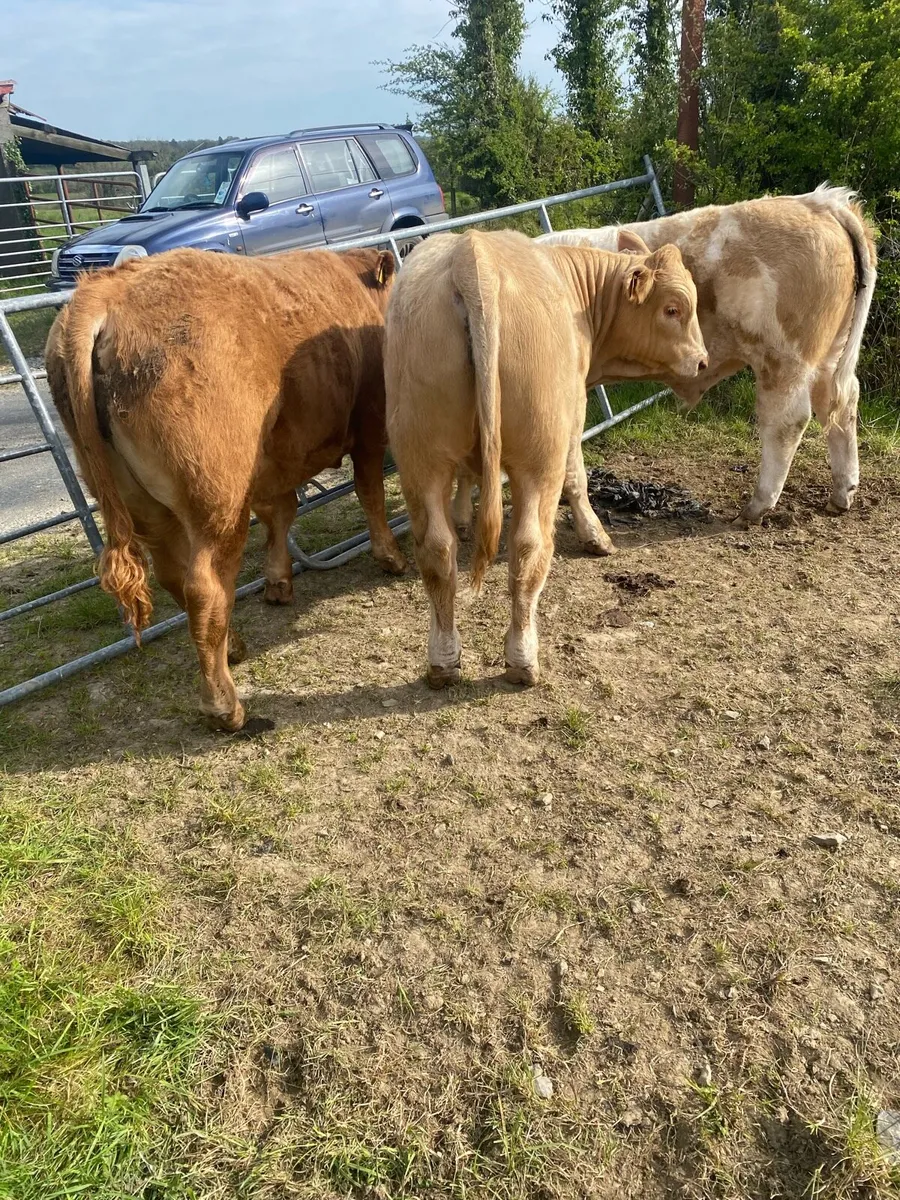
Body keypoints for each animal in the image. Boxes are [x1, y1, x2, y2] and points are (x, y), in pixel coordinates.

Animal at [45, 246, 406, 732]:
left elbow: (280, 515)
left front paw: (278, 582)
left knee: (173, 577)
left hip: (145, 505)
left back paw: (231, 647)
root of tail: (106, 289)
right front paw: (390, 557)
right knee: (205, 588)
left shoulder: (273, 463)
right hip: (219, 499)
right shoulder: (369, 426)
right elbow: (369, 493)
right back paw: (225, 706)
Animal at [385, 228, 707, 689]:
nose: (702, 362)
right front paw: (595, 535)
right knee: (528, 545)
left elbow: (469, 478)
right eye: (673, 308)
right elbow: (578, 477)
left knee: (436, 549)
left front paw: (463, 515)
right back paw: (523, 658)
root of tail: (472, 252)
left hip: (419, 453)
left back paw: (443, 661)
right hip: (539, 455)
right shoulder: (575, 410)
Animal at [537, 185, 878, 523]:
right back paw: (841, 494)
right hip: (828, 357)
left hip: (783, 359)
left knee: (787, 421)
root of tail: (820, 202)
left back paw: (756, 507)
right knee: (840, 403)